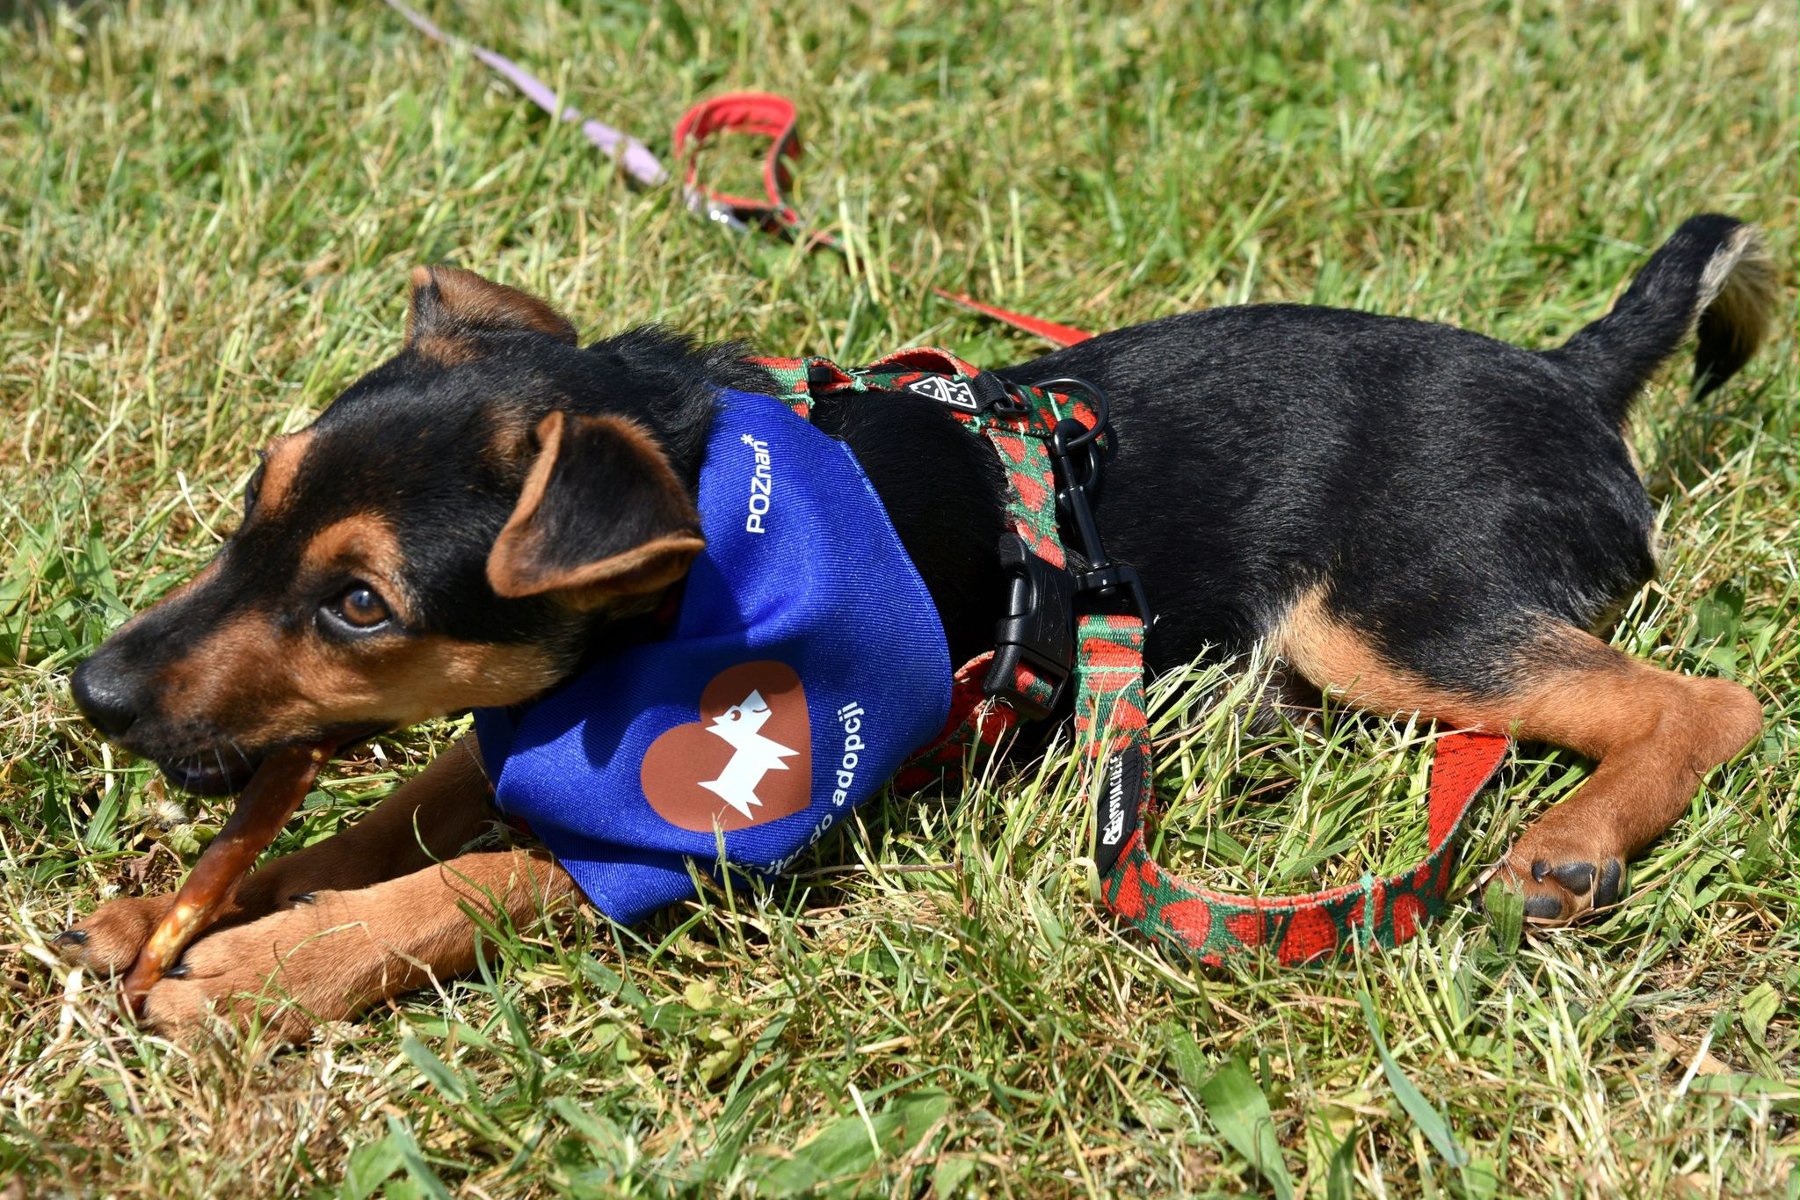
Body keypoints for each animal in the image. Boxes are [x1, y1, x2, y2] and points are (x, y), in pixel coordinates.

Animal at [59, 211, 1771, 1036]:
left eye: (360, 605)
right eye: (254, 502)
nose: (93, 694)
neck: (699, 568)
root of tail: (1568, 376)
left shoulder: (726, 821)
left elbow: (467, 880)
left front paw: (258, 974)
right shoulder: (533, 725)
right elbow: (399, 813)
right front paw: (179, 911)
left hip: (1388, 614)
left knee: (1704, 704)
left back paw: (1574, 845)